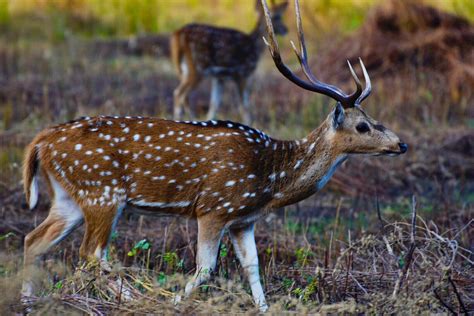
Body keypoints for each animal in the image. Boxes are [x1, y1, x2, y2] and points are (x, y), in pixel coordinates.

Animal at [21, 0, 408, 312]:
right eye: (362, 125)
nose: (401, 144)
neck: (270, 179)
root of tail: (40, 141)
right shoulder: (213, 208)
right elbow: (205, 269)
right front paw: (174, 304)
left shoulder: (243, 220)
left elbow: (253, 270)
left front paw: (263, 308)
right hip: (101, 192)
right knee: (90, 254)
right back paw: (135, 297)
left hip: (69, 197)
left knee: (33, 241)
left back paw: (27, 301)